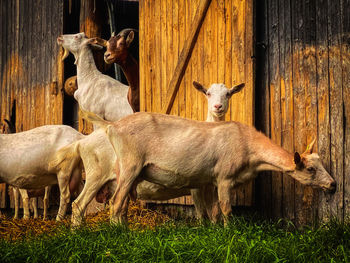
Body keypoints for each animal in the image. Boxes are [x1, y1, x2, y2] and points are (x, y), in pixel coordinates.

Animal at [83, 111, 338, 225]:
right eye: (310, 169)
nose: (333, 185)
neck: (248, 146)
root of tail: (112, 126)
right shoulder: (225, 178)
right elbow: (226, 209)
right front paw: (229, 233)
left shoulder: (213, 181)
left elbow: (213, 211)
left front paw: (214, 231)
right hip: (130, 165)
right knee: (115, 202)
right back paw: (118, 232)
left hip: (131, 172)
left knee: (121, 203)